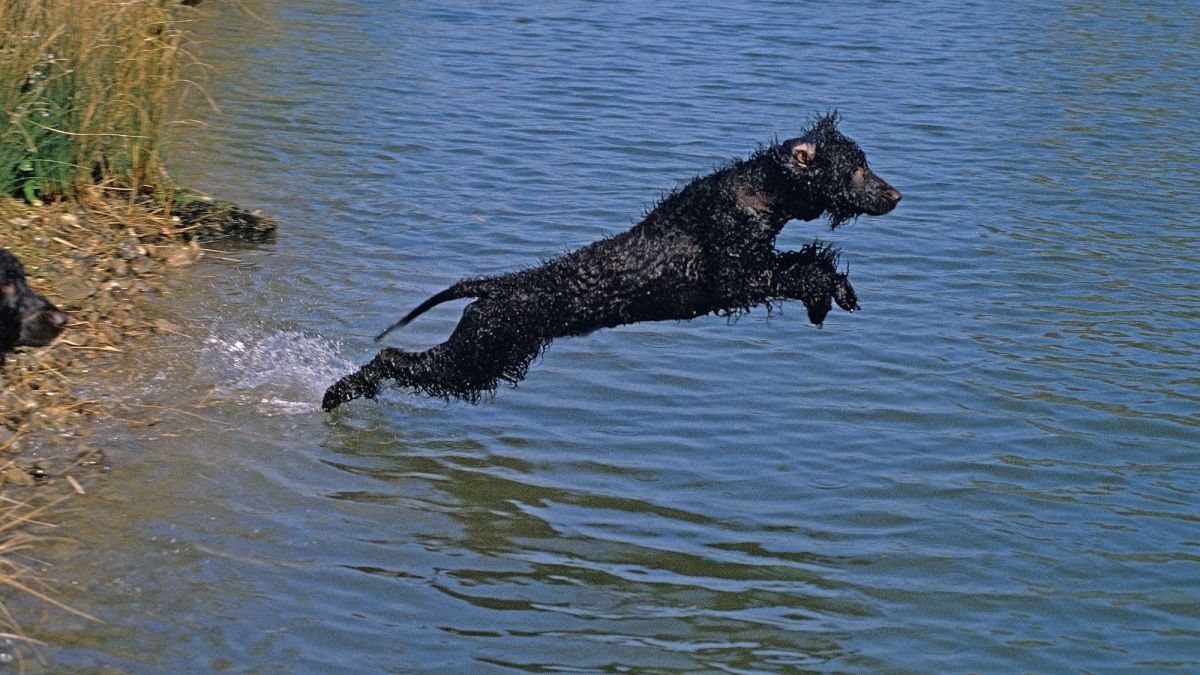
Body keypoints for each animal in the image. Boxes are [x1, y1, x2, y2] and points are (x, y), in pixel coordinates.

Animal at [319, 114, 902, 410]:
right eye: (854, 168)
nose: (897, 196)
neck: (757, 190)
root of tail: (495, 286)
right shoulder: (737, 279)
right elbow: (803, 266)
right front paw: (827, 294)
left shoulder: (751, 270)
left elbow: (810, 260)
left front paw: (833, 296)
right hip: (475, 358)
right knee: (393, 360)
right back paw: (337, 393)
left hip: (486, 356)